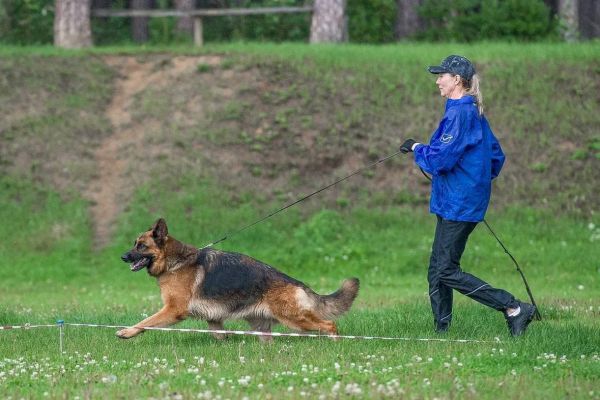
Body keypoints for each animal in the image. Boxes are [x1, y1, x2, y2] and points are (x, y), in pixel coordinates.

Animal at [119, 217, 358, 342]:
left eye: (141, 246)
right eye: (134, 244)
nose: (123, 257)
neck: (175, 261)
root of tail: (297, 283)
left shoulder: (172, 310)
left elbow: (146, 322)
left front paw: (127, 331)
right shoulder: (214, 319)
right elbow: (220, 336)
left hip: (296, 319)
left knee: (330, 325)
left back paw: (334, 343)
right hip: (263, 327)